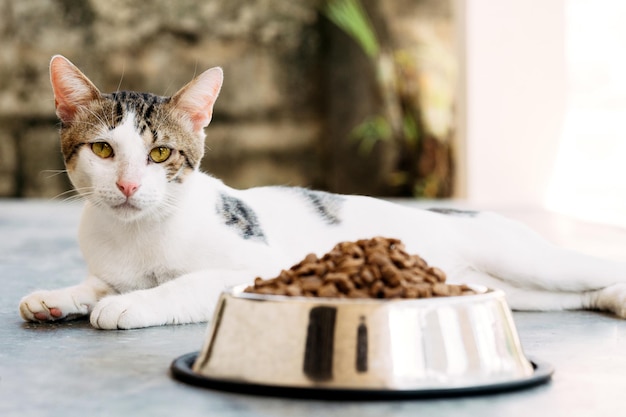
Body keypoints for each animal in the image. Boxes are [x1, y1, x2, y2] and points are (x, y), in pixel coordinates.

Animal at [17, 55, 624, 328]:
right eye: (103, 150)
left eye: (161, 155)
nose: (127, 185)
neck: (136, 233)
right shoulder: (109, 261)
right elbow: (96, 283)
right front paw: (58, 296)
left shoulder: (258, 269)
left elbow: (182, 284)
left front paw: (131, 303)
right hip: (518, 290)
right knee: (575, 295)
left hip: (531, 261)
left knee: (592, 266)